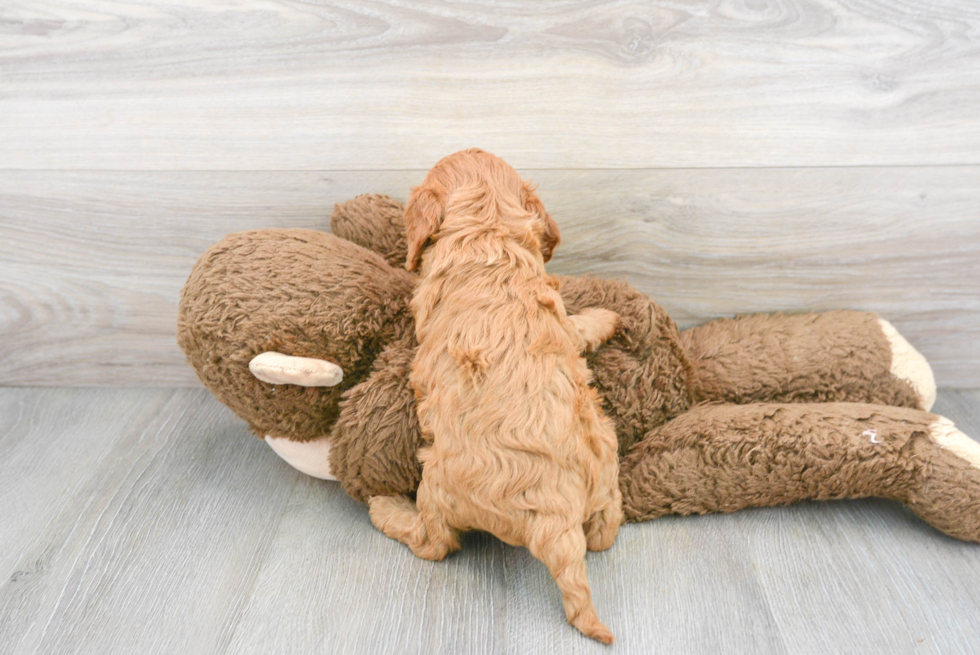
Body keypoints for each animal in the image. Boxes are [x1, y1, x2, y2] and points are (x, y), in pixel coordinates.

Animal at [368, 149, 620, 644]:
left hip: (438, 486)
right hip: (605, 451)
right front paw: (604, 317)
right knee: (605, 530)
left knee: (434, 543)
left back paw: (386, 509)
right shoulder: (559, 318)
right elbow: (575, 327)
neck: (488, 229)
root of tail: (557, 511)